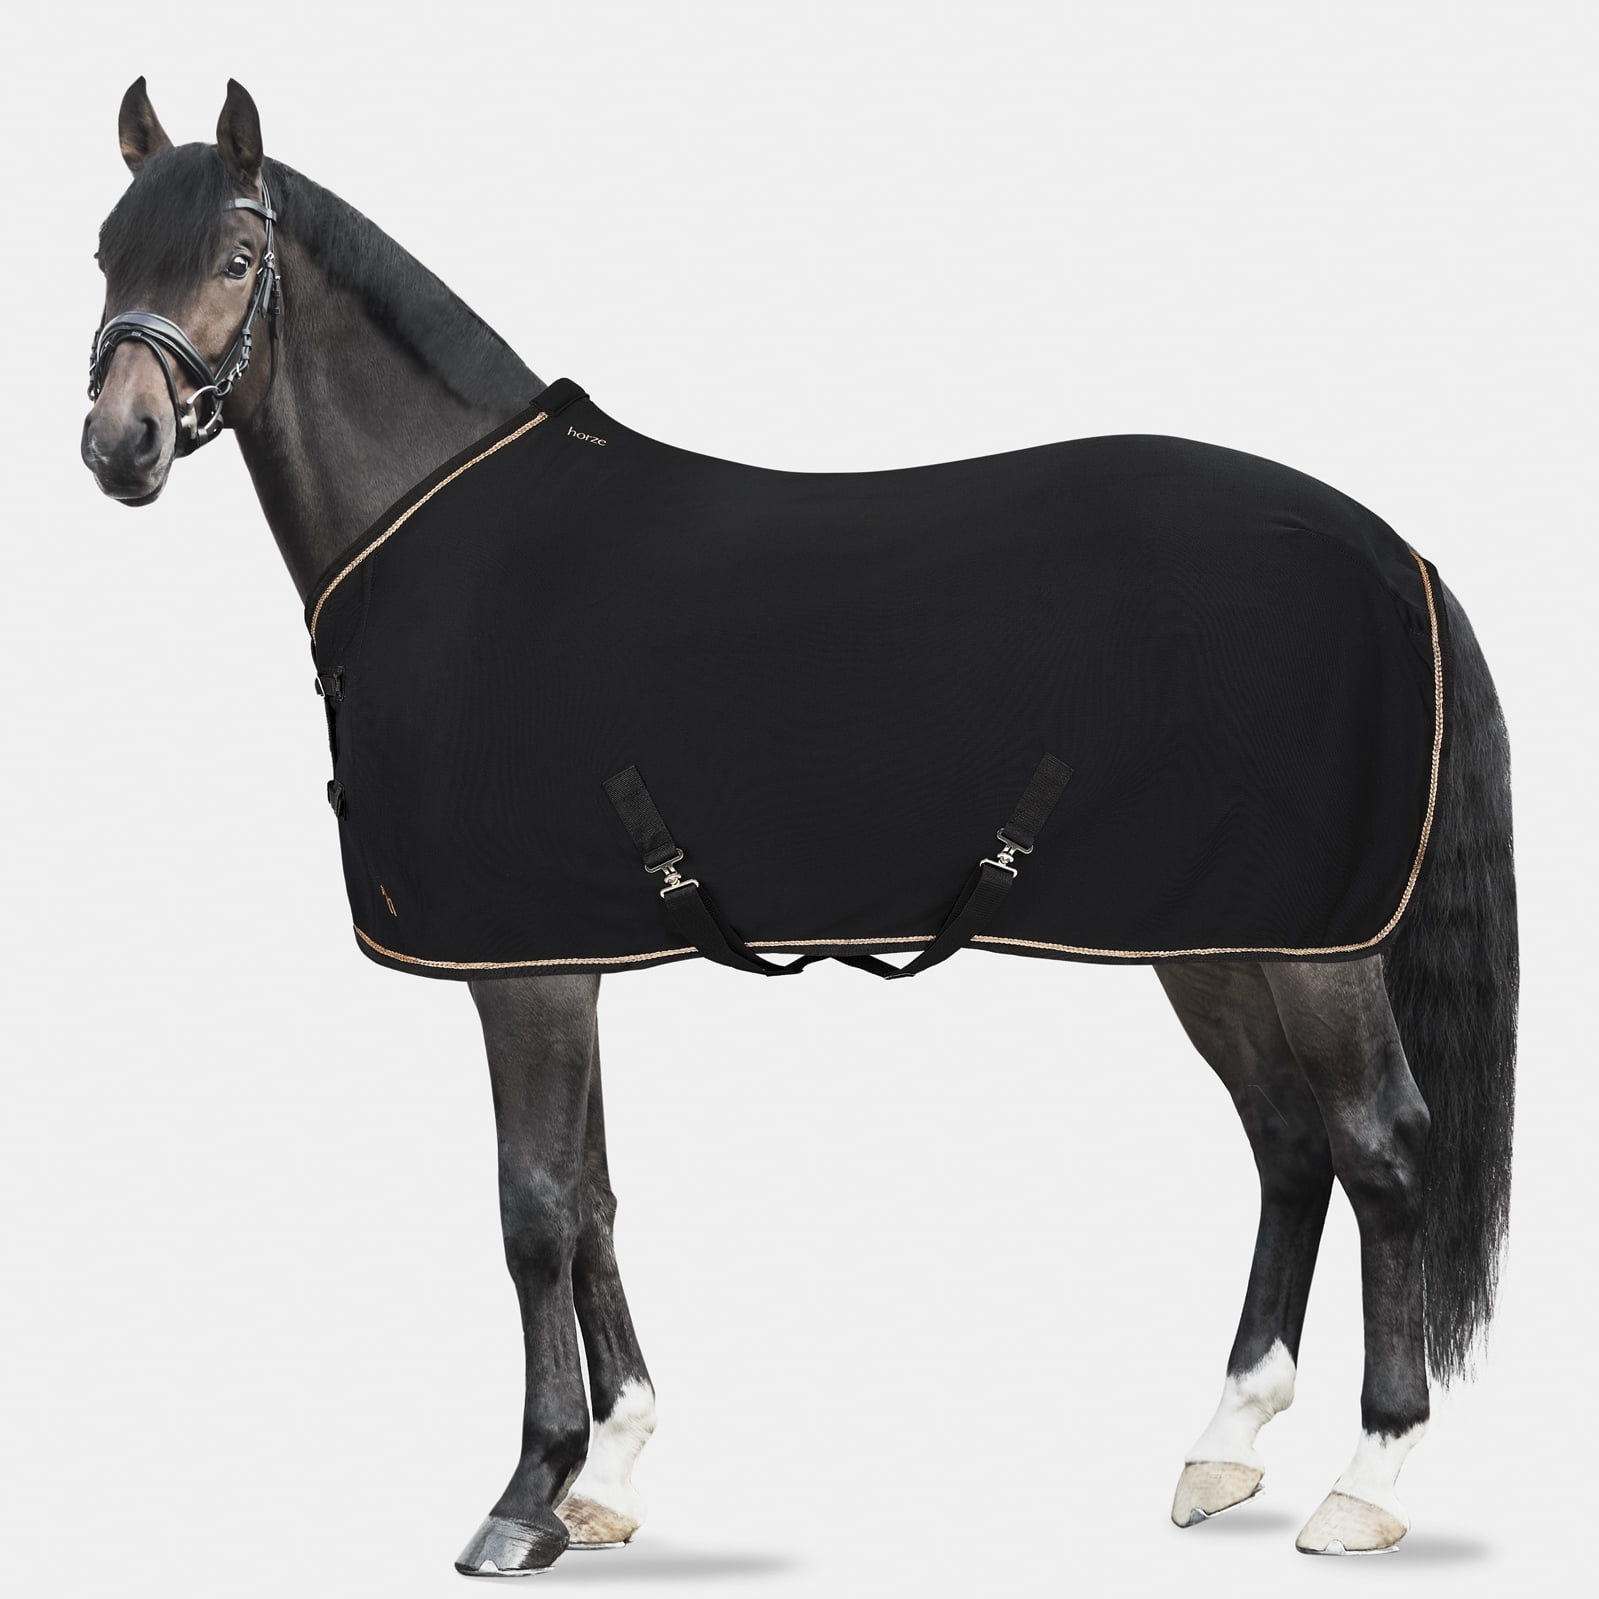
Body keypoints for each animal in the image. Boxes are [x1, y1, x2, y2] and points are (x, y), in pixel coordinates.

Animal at [79, 78, 1517, 1574]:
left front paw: (527, 1493)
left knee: (1381, 1147)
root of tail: (1395, 555)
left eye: (234, 259)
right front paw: (610, 1473)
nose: (119, 446)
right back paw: (1225, 1445)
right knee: (1288, 1144)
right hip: (1215, 935)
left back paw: (1368, 1477)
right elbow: (593, 1195)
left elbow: (533, 1207)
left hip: (1315, 946)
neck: (445, 536)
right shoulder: (567, 950)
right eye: (105, 254)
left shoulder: (523, 970)